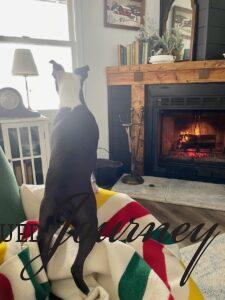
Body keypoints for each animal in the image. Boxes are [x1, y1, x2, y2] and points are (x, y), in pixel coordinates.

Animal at [37, 61, 99, 296]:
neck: (72, 104)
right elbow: (94, 173)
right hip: (90, 223)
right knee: (76, 267)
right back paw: (88, 291)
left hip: (44, 229)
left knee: (44, 265)